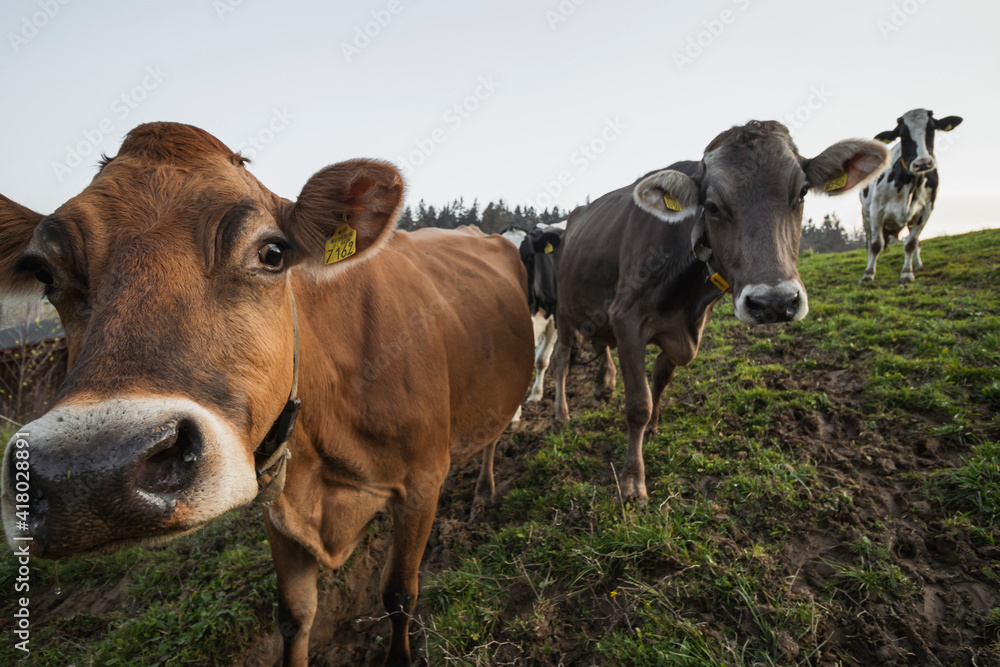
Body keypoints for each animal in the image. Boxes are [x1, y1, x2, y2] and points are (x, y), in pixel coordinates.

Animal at [0, 122, 536, 664]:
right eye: (44, 273)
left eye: (273, 253)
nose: (90, 473)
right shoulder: (277, 505)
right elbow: (295, 615)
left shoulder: (424, 480)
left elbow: (399, 594)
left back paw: (484, 493)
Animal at [552, 122, 888, 504]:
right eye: (711, 206)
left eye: (802, 192)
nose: (774, 302)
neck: (687, 299)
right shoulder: (627, 318)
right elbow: (639, 404)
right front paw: (632, 481)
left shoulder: (686, 332)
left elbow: (661, 378)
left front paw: (653, 427)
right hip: (562, 310)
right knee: (562, 358)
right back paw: (561, 416)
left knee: (599, 342)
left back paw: (603, 384)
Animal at [860, 106, 960, 282]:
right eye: (903, 135)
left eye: (931, 129)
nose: (922, 163)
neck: (909, 181)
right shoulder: (876, 211)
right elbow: (876, 245)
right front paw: (868, 274)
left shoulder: (925, 211)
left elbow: (911, 243)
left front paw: (907, 272)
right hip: (865, 214)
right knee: (870, 242)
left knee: (916, 241)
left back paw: (918, 264)